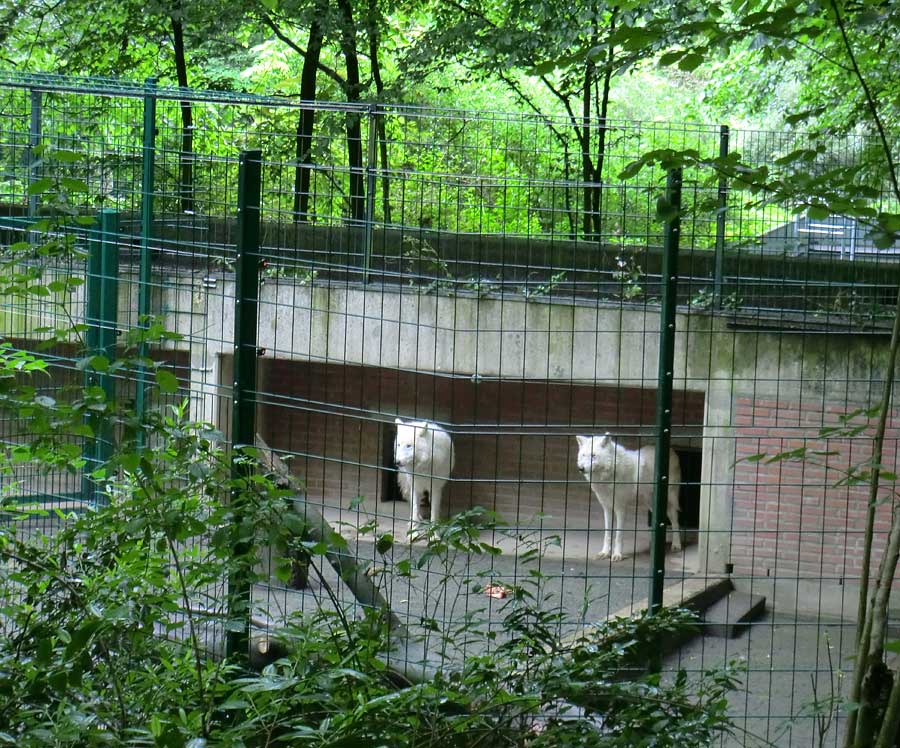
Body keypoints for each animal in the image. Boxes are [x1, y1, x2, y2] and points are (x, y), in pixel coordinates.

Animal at [576, 432, 684, 560]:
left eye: (593, 456)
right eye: (583, 455)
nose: (581, 468)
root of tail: (672, 450)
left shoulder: (620, 508)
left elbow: (618, 534)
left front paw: (617, 555)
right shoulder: (607, 508)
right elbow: (607, 533)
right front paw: (605, 553)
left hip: (670, 500)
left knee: (675, 520)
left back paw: (676, 545)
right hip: (650, 503)